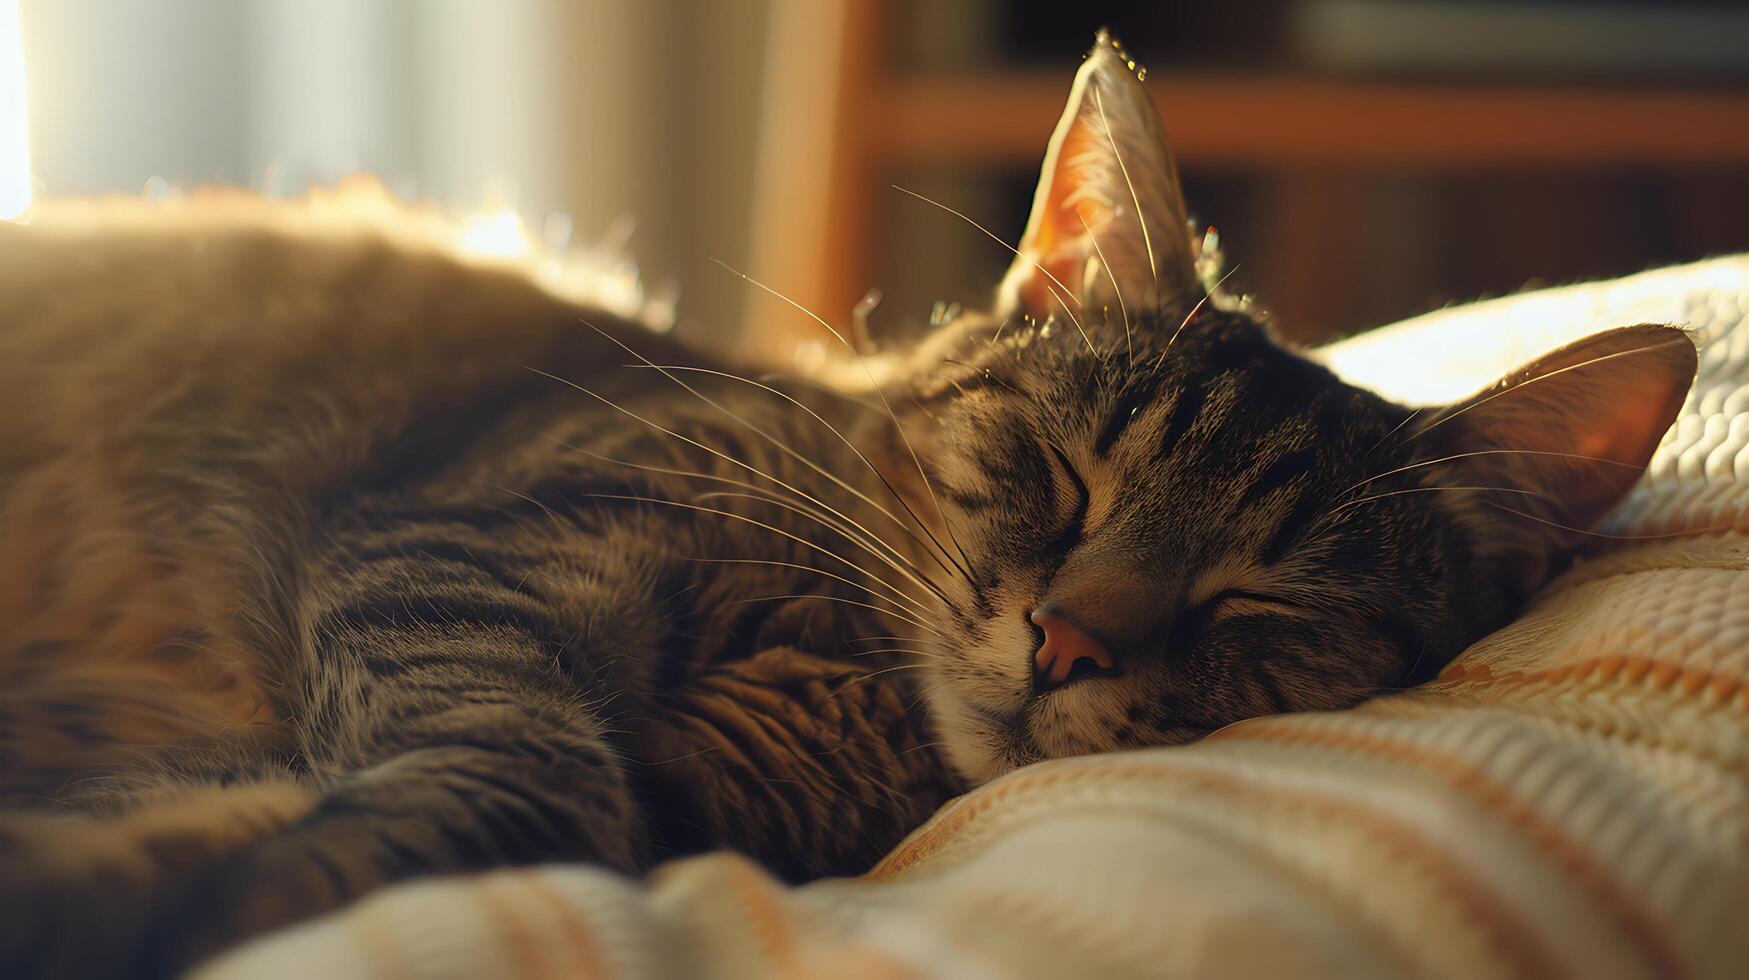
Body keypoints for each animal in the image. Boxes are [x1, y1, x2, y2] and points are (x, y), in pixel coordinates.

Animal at [0, 34, 1693, 973]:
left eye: (1261, 596)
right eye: (1064, 473)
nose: (1068, 643)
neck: (842, 660)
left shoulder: (684, 788)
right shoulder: (478, 541)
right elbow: (517, 761)